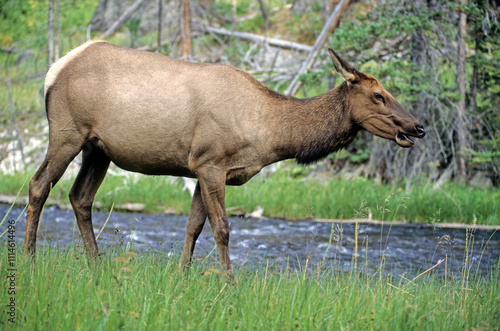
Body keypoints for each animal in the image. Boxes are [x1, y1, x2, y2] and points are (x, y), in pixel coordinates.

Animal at [25, 40, 424, 278]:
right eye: (378, 95)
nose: (418, 126)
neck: (268, 136)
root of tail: (53, 70)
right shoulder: (211, 164)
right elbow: (222, 228)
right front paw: (228, 282)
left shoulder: (202, 169)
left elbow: (193, 227)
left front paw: (183, 276)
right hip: (67, 132)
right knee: (39, 184)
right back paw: (30, 257)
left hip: (98, 148)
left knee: (80, 197)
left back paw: (96, 264)